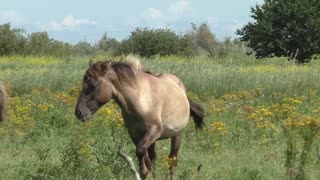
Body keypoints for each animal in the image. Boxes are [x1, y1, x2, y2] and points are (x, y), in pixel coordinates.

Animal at [75, 57, 205, 179]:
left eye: (93, 85)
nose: (79, 112)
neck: (141, 100)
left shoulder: (154, 130)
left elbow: (140, 151)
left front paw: (144, 170)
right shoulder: (135, 134)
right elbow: (144, 156)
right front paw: (145, 171)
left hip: (177, 135)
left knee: (172, 160)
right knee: (154, 157)